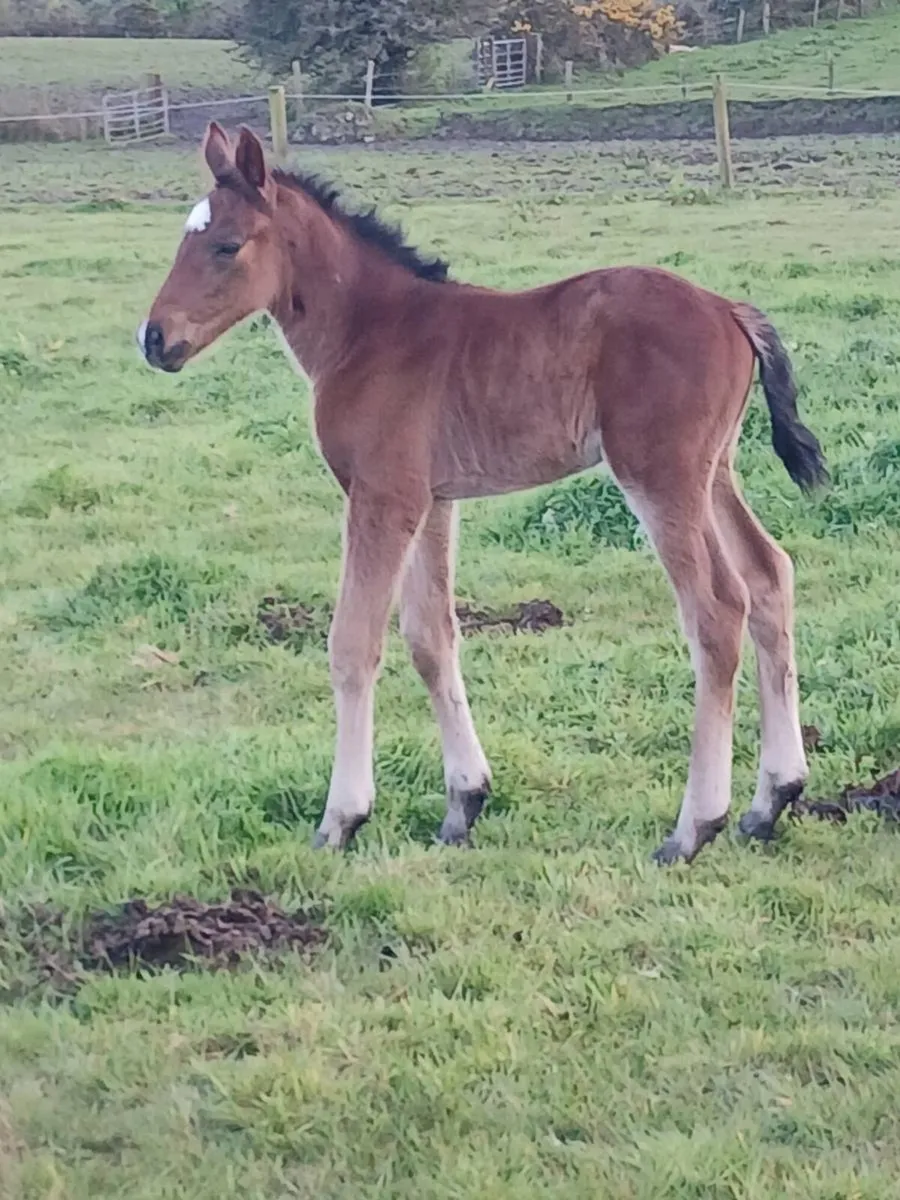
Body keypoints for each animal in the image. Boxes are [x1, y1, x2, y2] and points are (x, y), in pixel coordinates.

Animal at [138, 121, 827, 863]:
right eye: (185, 238)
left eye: (226, 245)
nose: (154, 339)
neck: (368, 332)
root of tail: (728, 308)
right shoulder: (434, 500)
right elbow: (431, 638)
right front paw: (463, 805)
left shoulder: (382, 497)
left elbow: (353, 643)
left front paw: (341, 819)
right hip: (714, 471)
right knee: (768, 576)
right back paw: (772, 800)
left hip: (661, 476)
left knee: (717, 609)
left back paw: (694, 826)